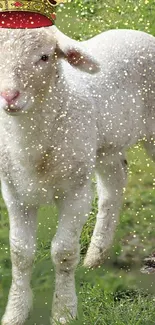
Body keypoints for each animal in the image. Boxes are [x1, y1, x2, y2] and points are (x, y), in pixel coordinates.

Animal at [0, 26, 154, 324]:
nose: (9, 96)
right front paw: (15, 312)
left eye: (45, 57)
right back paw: (96, 256)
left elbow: (64, 252)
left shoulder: (76, 192)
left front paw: (64, 311)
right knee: (114, 185)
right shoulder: (14, 193)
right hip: (104, 145)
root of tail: (137, 32)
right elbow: (20, 253)